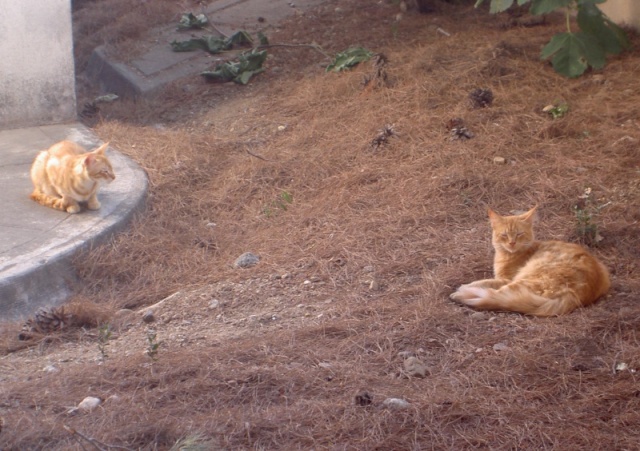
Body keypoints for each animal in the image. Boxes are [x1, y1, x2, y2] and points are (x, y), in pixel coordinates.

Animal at [450, 206, 608, 316]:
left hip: (525, 279)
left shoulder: (505, 279)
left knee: (494, 294)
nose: (512, 243)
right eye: (504, 235)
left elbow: (484, 282)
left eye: (519, 234)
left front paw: (462, 287)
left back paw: (462, 295)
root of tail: (575, 296)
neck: (508, 255)